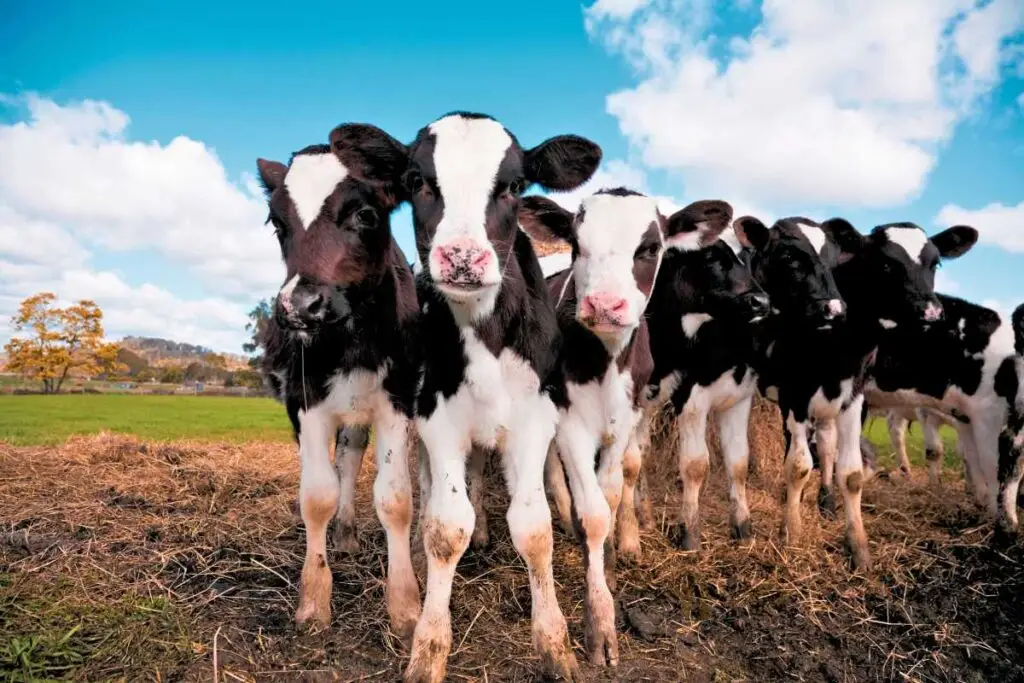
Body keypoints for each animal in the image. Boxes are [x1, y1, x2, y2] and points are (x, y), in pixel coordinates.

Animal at [255, 124, 421, 639]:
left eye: (365, 214)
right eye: (277, 223)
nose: (299, 306)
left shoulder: (397, 402)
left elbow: (395, 498)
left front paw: (404, 605)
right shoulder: (305, 401)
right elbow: (317, 495)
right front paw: (314, 599)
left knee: (349, 458)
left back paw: (347, 532)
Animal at [401, 111, 601, 683]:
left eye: (513, 186)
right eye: (417, 181)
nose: (463, 258)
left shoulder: (535, 418)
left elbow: (534, 528)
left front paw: (555, 644)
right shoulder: (437, 418)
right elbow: (445, 527)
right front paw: (429, 647)